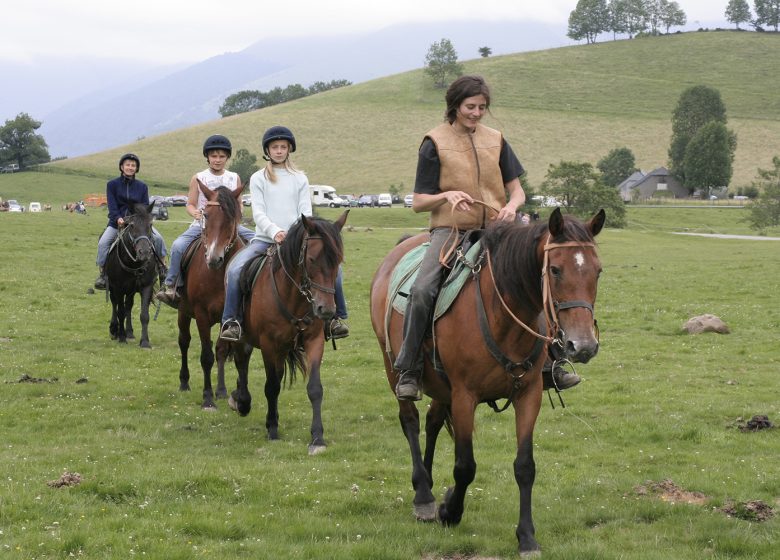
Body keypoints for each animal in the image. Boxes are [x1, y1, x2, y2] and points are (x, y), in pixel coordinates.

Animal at [103, 203, 158, 348]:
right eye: (132, 225)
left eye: (150, 224)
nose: (144, 252)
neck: (134, 264)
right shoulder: (118, 288)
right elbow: (120, 312)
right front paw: (121, 337)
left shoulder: (146, 286)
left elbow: (144, 315)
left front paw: (145, 342)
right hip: (113, 288)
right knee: (115, 304)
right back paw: (114, 330)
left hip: (131, 290)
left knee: (128, 306)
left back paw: (129, 332)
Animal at [177, 183, 244, 406]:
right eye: (205, 215)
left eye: (232, 217)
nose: (214, 259)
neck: (218, 274)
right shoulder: (201, 315)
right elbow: (206, 356)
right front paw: (207, 398)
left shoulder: (228, 316)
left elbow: (220, 351)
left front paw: (221, 390)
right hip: (183, 312)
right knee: (184, 341)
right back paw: (184, 382)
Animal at [227, 211, 346, 456]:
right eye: (312, 260)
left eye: (338, 260)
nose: (326, 310)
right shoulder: (269, 344)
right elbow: (271, 387)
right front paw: (272, 429)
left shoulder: (314, 341)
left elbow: (315, 388)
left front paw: (317, 438)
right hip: (243, 338)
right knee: (242, 363)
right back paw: (242, 401)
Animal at [368, 207, 608, 556]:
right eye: (555, 269)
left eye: (598, 271)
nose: (584, 345)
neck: (503, 319)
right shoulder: (464, 396)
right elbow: (465, 466)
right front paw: (449, 511)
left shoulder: (529, 394)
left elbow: (525, 466)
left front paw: (526, 537)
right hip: (394, 369)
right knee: (410, 421)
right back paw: (424, 496)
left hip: (441, 386)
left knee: (432, 422)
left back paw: (427, 481)